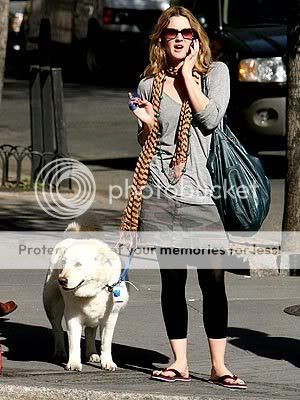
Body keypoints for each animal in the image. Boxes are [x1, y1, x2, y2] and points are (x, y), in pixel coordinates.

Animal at [43, 230, 127, 374]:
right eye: (63, 263)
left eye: (78, 264)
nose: (61, 280)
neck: (94, 291)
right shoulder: (72, 317)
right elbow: (74, 343)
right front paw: (74, 364)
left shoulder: (110, 318)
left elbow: (106, 343)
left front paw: (107, 362)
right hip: (51, 304)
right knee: (57, 328)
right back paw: (60, 352)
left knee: (90, 331)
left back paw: (93, 354)